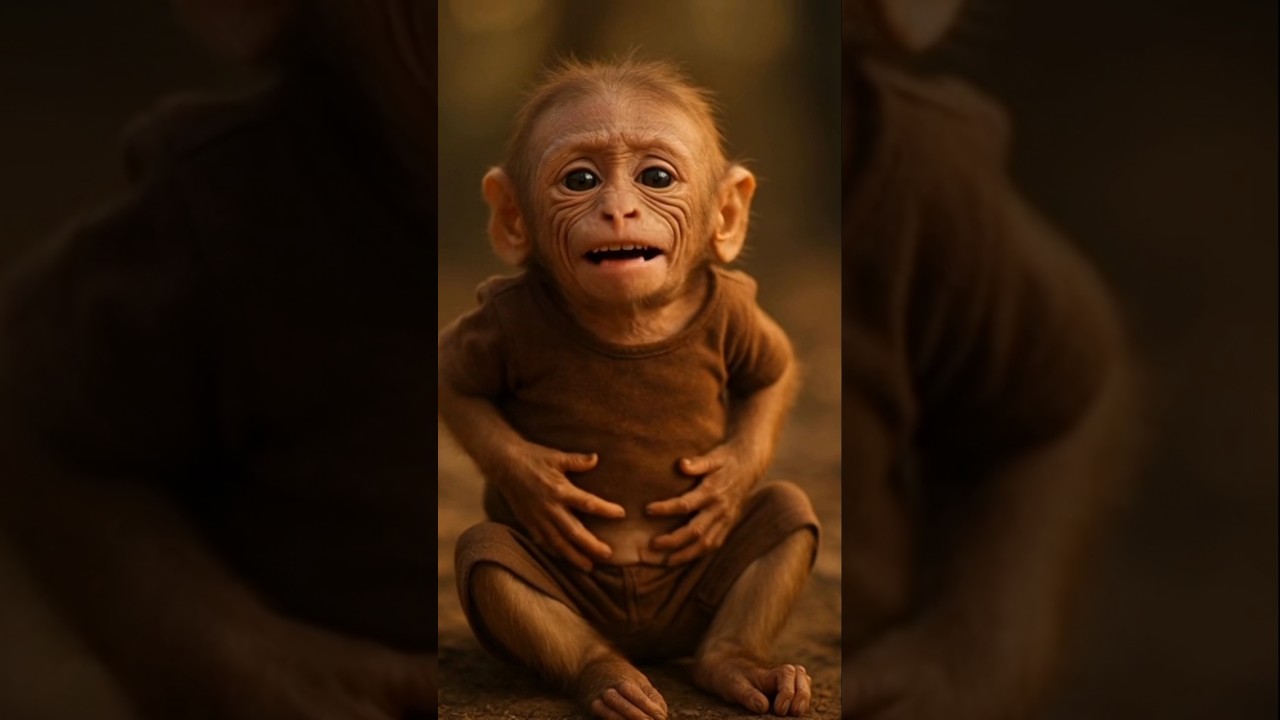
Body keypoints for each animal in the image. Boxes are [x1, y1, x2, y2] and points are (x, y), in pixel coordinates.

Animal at [436, 57, 822, 719]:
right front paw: (539, 486)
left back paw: (739, 667)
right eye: (582, 179)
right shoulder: (499, 314)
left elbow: (775, 374)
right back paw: (610, 678)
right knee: (492, 557)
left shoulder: (739, 307)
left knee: (786, 512)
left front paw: (723, 484)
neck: (633, 324)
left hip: (694, 600)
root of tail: (647, 640)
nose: (618, 212)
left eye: (656, 177)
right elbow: (454, 383)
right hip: (579, 594)